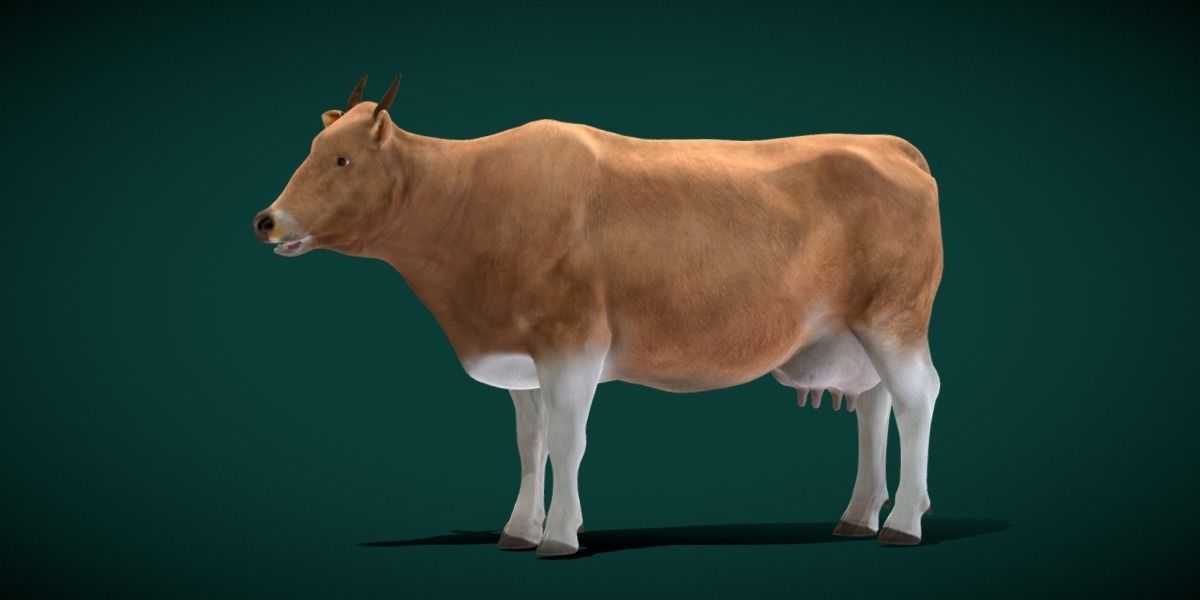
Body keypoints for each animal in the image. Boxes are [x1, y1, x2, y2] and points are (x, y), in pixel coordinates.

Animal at [253, 75, 943, 557]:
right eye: (313, 148)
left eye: (342, 160)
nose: (267, 220)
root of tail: (887, 143)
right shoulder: (521, 357)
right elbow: (529, 445)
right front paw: (519, 529)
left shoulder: (572, 342)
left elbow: (567, 440)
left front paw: (559, 535)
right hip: (857, 332)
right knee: (874, 406)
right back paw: (858, 516)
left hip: (894, 318)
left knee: (916, 399)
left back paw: (903, 523)